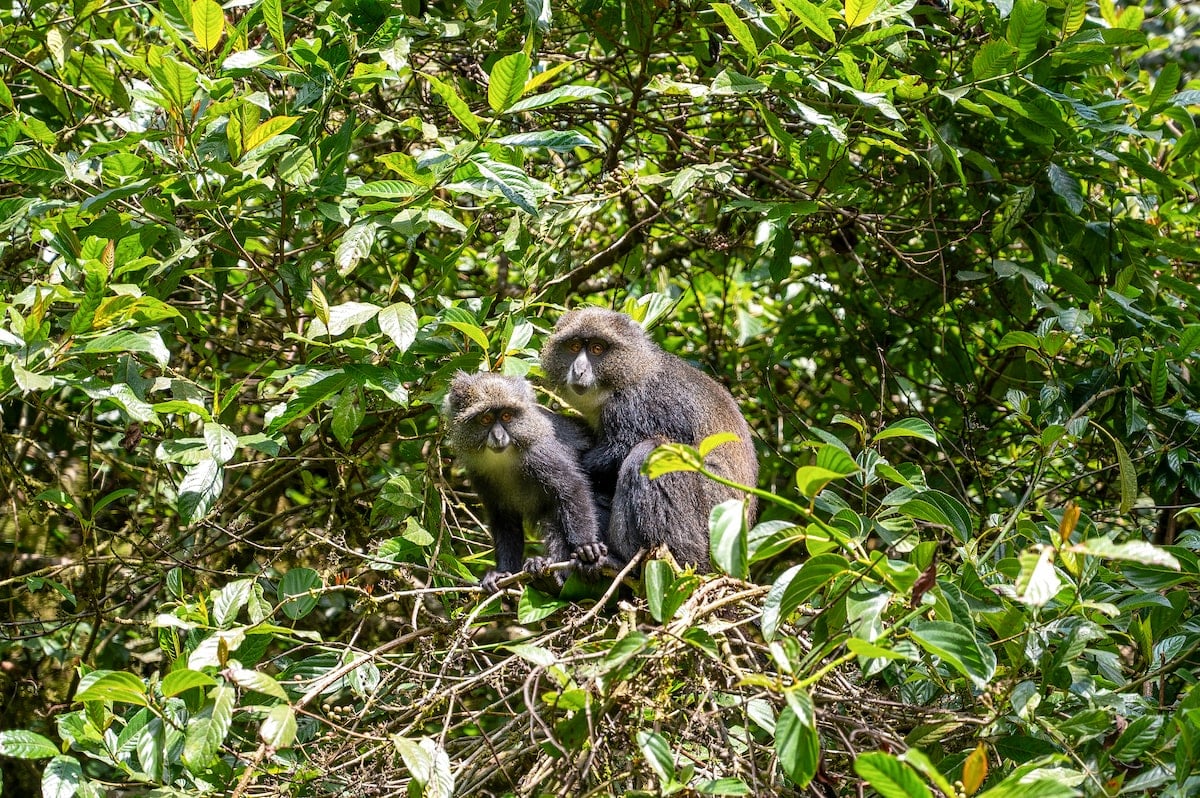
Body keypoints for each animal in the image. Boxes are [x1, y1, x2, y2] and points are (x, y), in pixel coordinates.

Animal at [441, 372, 609, 590]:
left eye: (506, 416)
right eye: (485, 419)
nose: (498, 436)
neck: (504, 460)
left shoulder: (540, 454)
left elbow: (572, 488)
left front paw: (587, 547)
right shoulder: (479, 475)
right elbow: (504, 519)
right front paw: (502, 573)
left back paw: (552, 572)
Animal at [544, 306, 758, 573]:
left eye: (597, 348)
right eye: (574, 347)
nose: (579, 370)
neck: (632, 370)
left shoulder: (638, 405)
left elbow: (619, 452)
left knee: (648, 452)